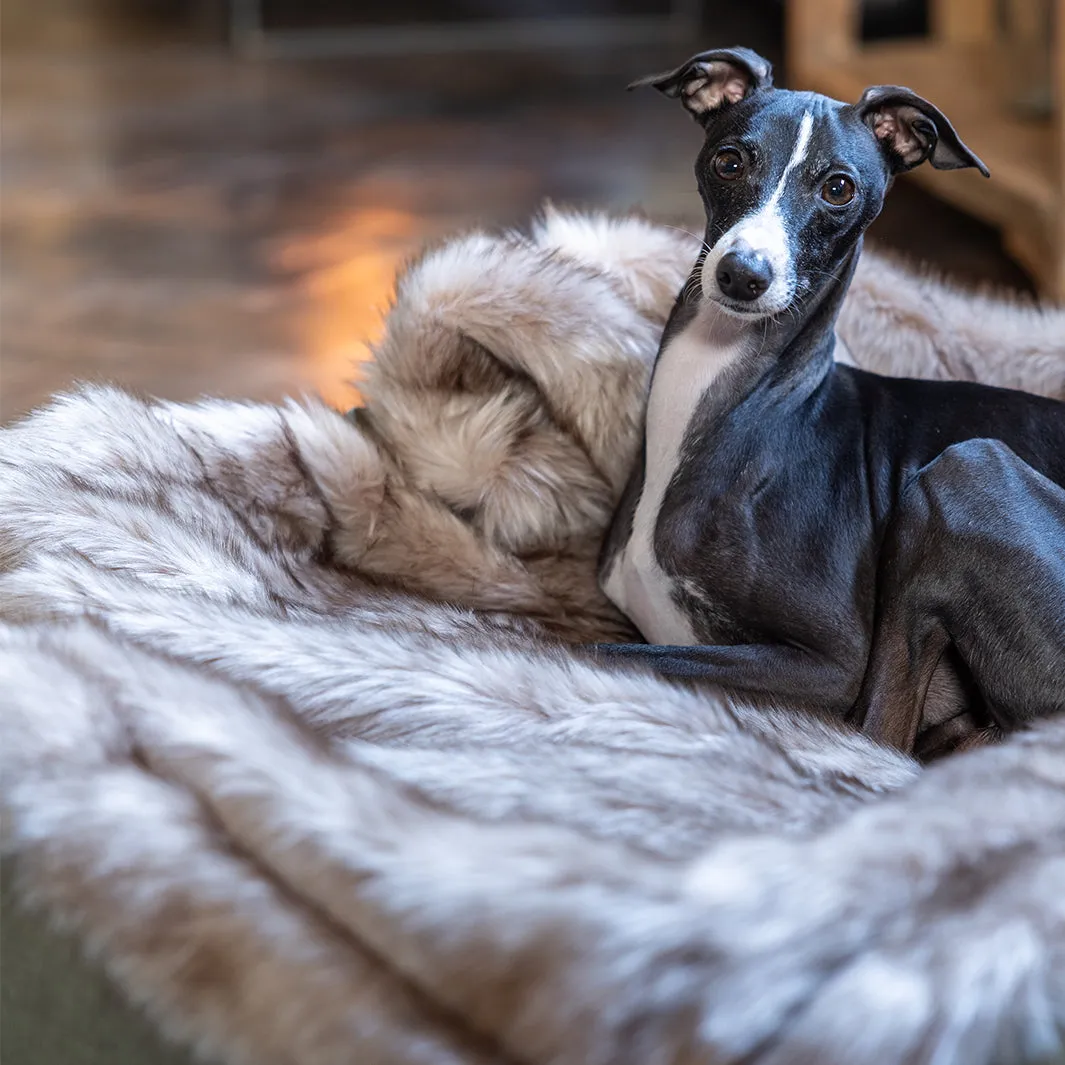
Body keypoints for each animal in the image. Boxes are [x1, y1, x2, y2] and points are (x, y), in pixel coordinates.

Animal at [600, 47, 1065, 758]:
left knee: (883, 740)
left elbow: (605, 654)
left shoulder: (831, 661)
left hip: (966, 469)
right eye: (729, 160)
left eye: (839, 189)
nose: (743, 275)